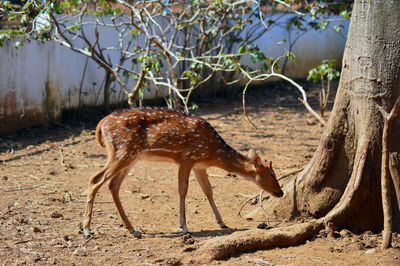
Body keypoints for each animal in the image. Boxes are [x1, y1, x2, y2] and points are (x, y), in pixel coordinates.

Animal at [82, 107, 282, 238]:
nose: (280, 192)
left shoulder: (200, 165)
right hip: (123, 152)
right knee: (94, 179)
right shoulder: (187, 158)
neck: (213, 152)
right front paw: (184, 226)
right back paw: (87, 230)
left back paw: (133, 230)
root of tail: (101, 125)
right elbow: (183, 190)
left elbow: (208, 191)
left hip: (130, 156)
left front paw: (222, 222)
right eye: (272, 174)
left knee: (112, 184)